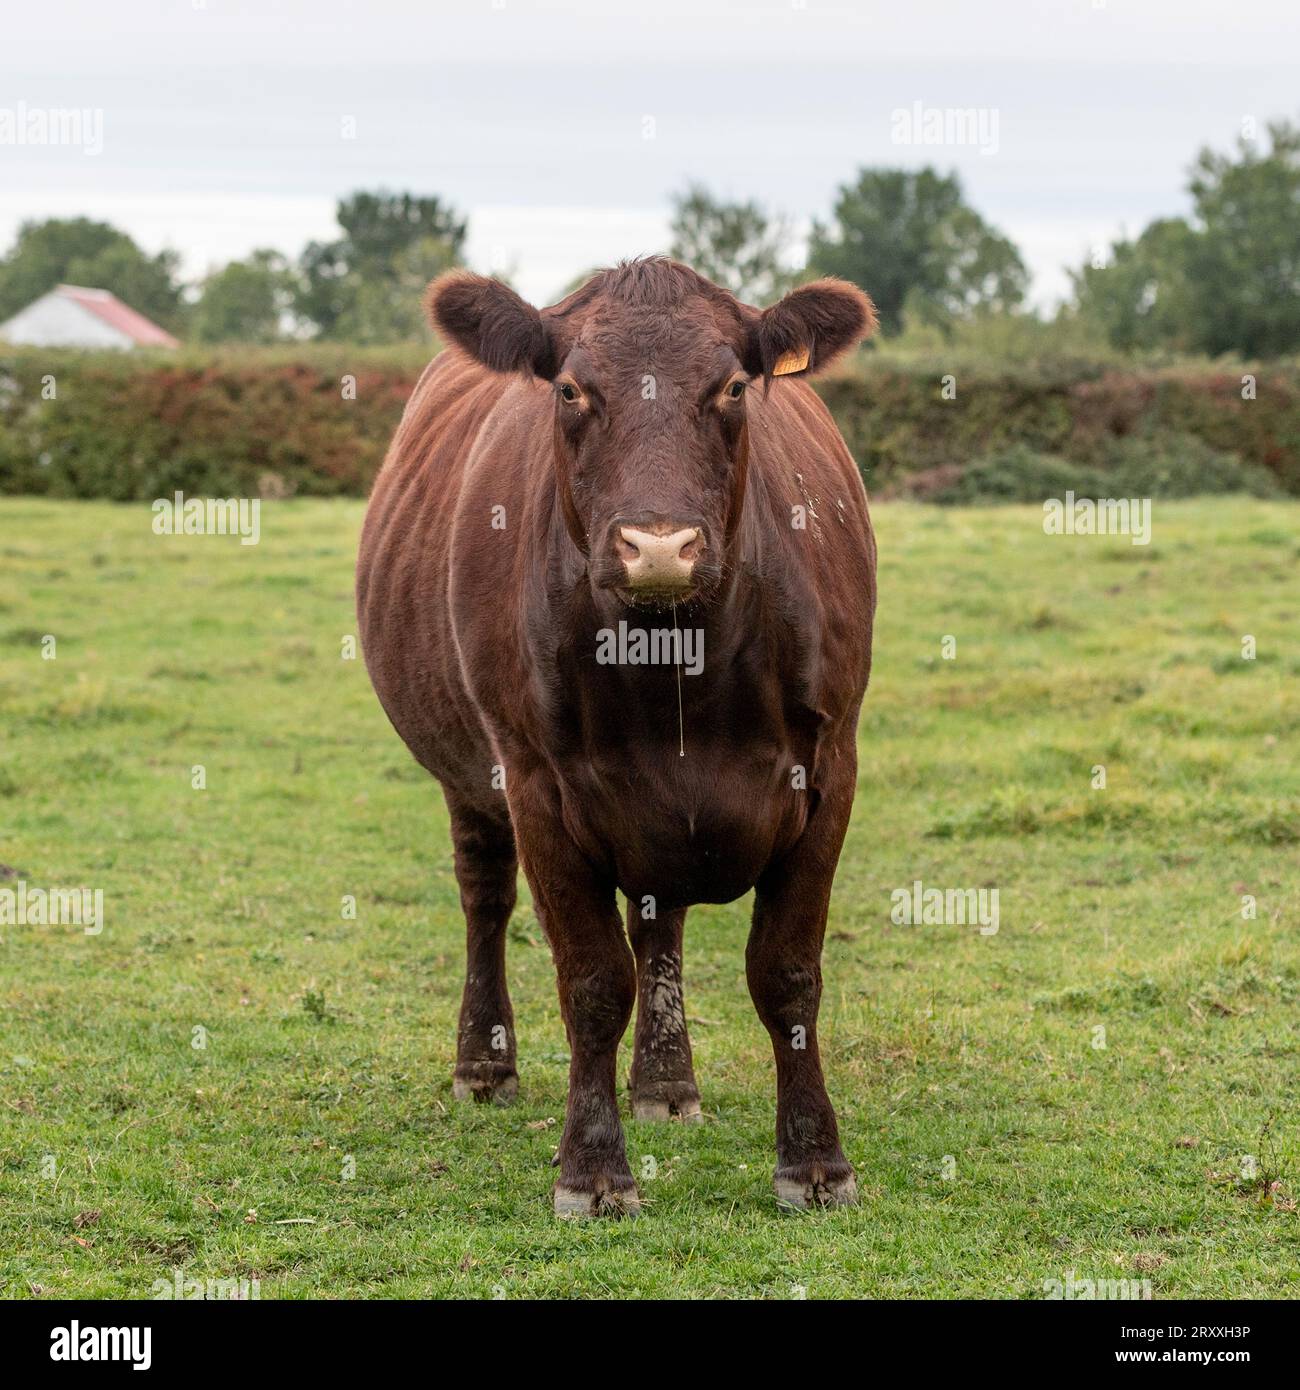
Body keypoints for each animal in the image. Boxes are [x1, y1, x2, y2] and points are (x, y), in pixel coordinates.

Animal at [356, 257, 877, 1217]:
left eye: (733, 386)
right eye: (570, 389)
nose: (658, 546)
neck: (677, 662)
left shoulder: (830, 769)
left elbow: (787, 973)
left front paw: (815, 1160)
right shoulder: (537, 784)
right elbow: (593, 983)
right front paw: (593, 1169)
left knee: (658, 925)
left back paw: (667, 1082)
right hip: (468, 775)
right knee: (486, 897)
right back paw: (484, 1064)